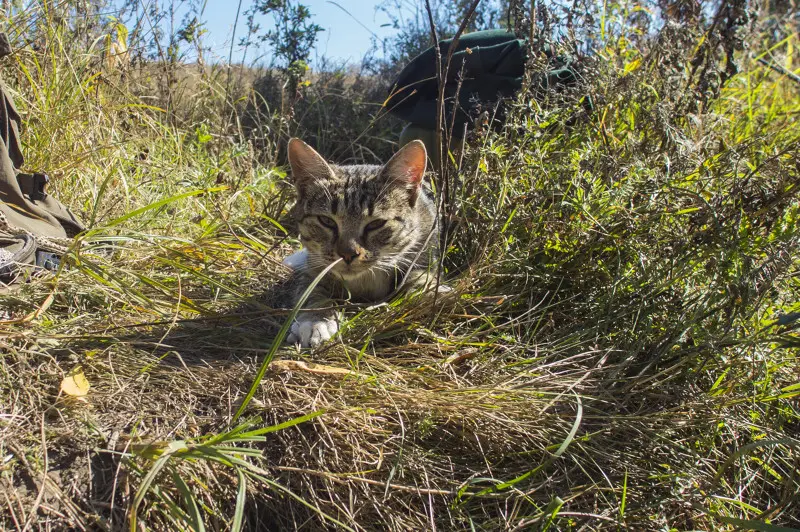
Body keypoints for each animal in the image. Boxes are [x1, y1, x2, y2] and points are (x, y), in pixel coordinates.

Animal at [284, 137, 440, 348]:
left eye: (376, 224)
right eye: (326, 221)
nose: (348, 254)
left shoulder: (424, 250)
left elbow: (421, 277)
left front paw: (431, 294)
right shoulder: (314, 266)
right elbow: (311, 290)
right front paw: (316, 319)